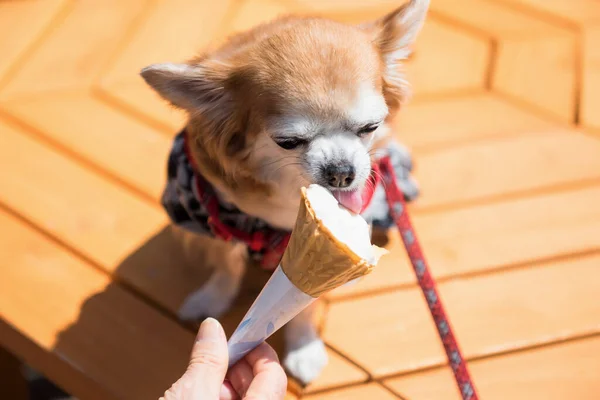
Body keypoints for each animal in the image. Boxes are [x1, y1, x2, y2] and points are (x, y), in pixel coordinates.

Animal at [143, 0, 428, 384]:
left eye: (370, 127)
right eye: (289, 142)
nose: (342, 172)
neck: (289, 193)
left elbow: (304, 309)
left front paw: (303, 347)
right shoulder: (213, 214)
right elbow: (227, 266)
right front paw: (212, 301)